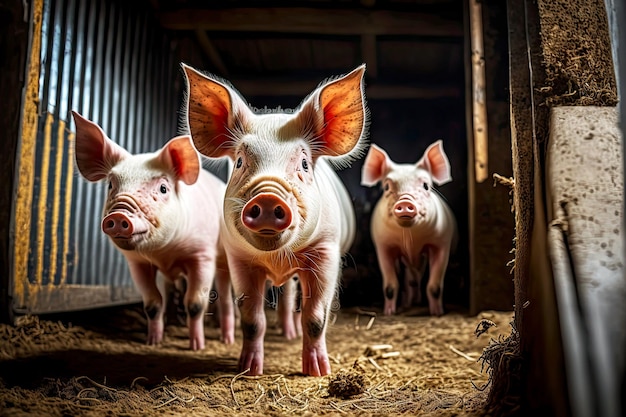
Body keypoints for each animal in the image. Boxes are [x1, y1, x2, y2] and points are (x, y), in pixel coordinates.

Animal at [70, 111, 235, 352]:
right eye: (110, 185)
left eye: (163, 188)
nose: (119, 215)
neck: (164, 253)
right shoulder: (137, 262)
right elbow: (152, 303)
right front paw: (153, 342)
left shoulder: (202, 255)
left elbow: (195, 303)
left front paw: (196, 346)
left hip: (223, 258)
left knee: (224, 295)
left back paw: (227, 339)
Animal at [180, 62, 368, 376]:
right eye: (240, 162)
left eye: (304, 163)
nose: (268, 197)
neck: (276, 257)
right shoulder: (239, 258)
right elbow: (252, 320)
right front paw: (249, 370)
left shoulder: (326, 251)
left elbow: (315, 318)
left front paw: (317, 372)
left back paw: (292, 335)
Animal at [358, 140, 456, 316]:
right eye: (386, 187)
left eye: (426, 185)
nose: (404, 202)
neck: (411, 240)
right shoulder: (383, 246)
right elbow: (390, 286)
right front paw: (389, 313)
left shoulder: (441, 243)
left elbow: (435, 286)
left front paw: (437, 313)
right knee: (410, 280)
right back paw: (409, 303)